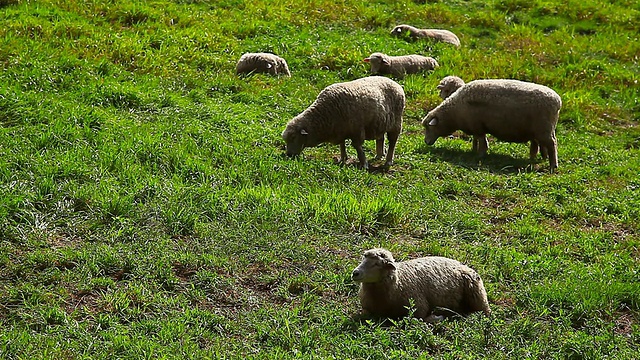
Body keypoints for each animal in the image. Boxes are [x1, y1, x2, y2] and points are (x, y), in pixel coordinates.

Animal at [350, 249, 490, 322]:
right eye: (363, 259)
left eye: (376, 264)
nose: (355, 273)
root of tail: (460, 263)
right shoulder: (367, 309)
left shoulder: (419, 307)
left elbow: (420, 319)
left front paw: (437, 317)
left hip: (478, 295)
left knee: (484, 312)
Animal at [422, 79, 564, 172]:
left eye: (429, 127)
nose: (426, 142)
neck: (454, 112)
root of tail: (557, 101)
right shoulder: (475, 126)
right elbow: (476, 139)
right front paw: (474, 150)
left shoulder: (478, 126)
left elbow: (482, 140)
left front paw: (481, 154)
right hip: (541, 130)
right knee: (542, 144)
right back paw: (540, 159)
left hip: (544, 129)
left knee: (552, 144)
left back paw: (553, 165)